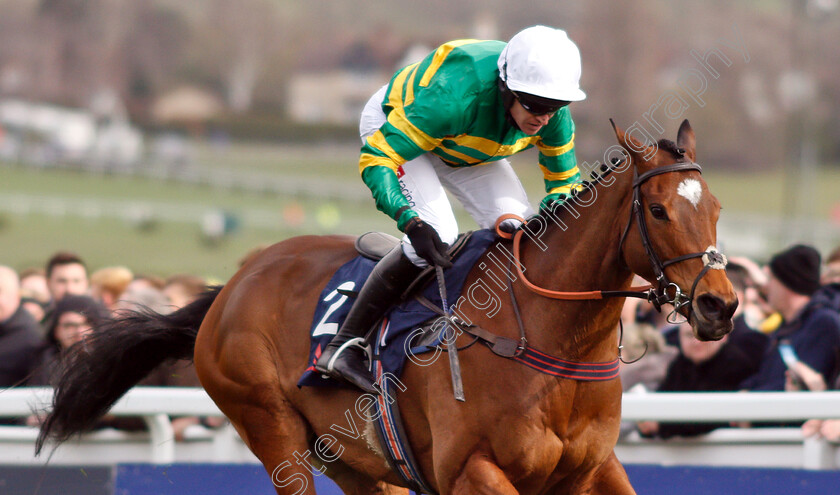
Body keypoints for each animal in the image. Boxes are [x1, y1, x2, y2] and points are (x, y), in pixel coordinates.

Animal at [36, 118, 740, 494]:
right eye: (658, 210)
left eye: (715, 207)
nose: (720, 305)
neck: (548, 345)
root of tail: (233, 284)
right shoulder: (472, 471)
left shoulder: (593, 470)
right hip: (271, 428)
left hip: (357, 461)